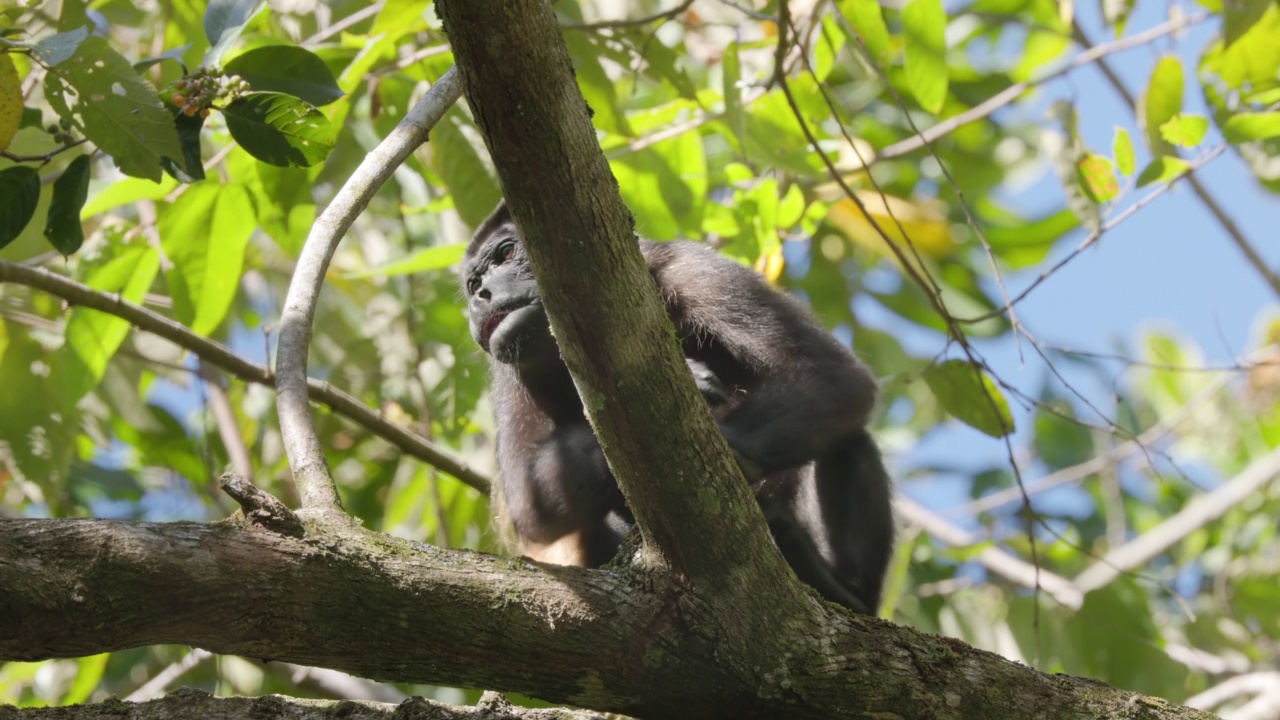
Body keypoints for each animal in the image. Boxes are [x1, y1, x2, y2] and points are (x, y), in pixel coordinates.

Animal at [460, 199, 890, 609]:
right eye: (473, 282)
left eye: (507, 253)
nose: (480, 297)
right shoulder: (509, 365)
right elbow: (527, 501)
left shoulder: (693, 269)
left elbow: (833, 375)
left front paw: (727, 442)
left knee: (851, 436)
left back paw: (842, 586)